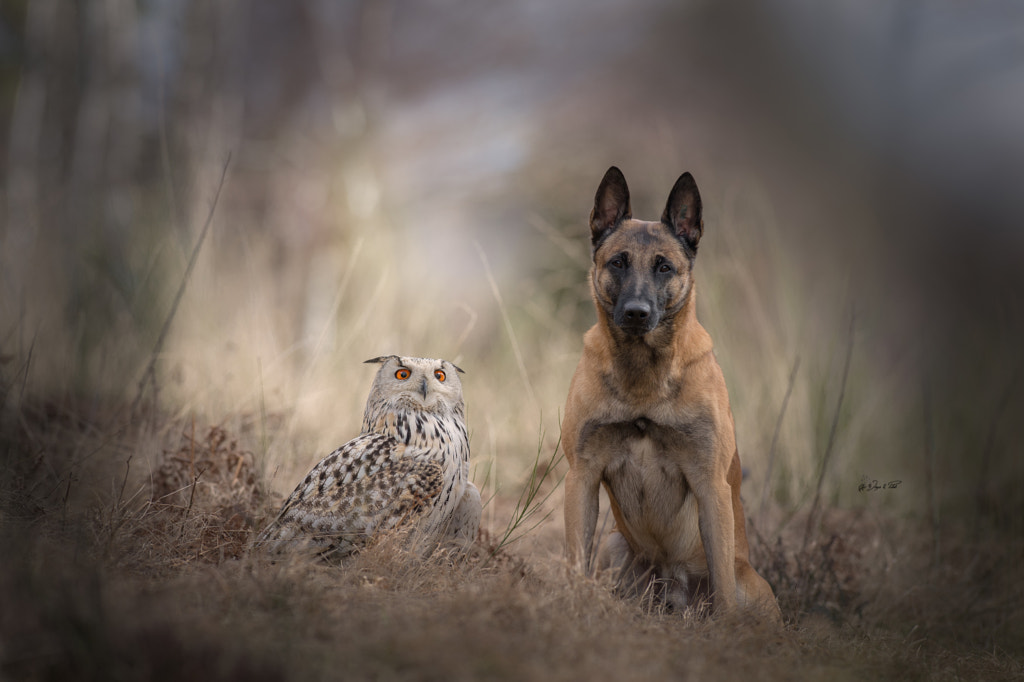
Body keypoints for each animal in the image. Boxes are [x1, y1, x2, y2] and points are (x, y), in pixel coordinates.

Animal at [565, 164, 778, 614]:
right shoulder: (581, 477)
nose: (636, 313)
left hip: (750, 584)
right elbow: (574, 560)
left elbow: (723, 592)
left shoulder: (711, 486)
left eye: (664, 267)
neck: (644, 377)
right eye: (618, 262)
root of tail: (673, 589)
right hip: (614, 545)